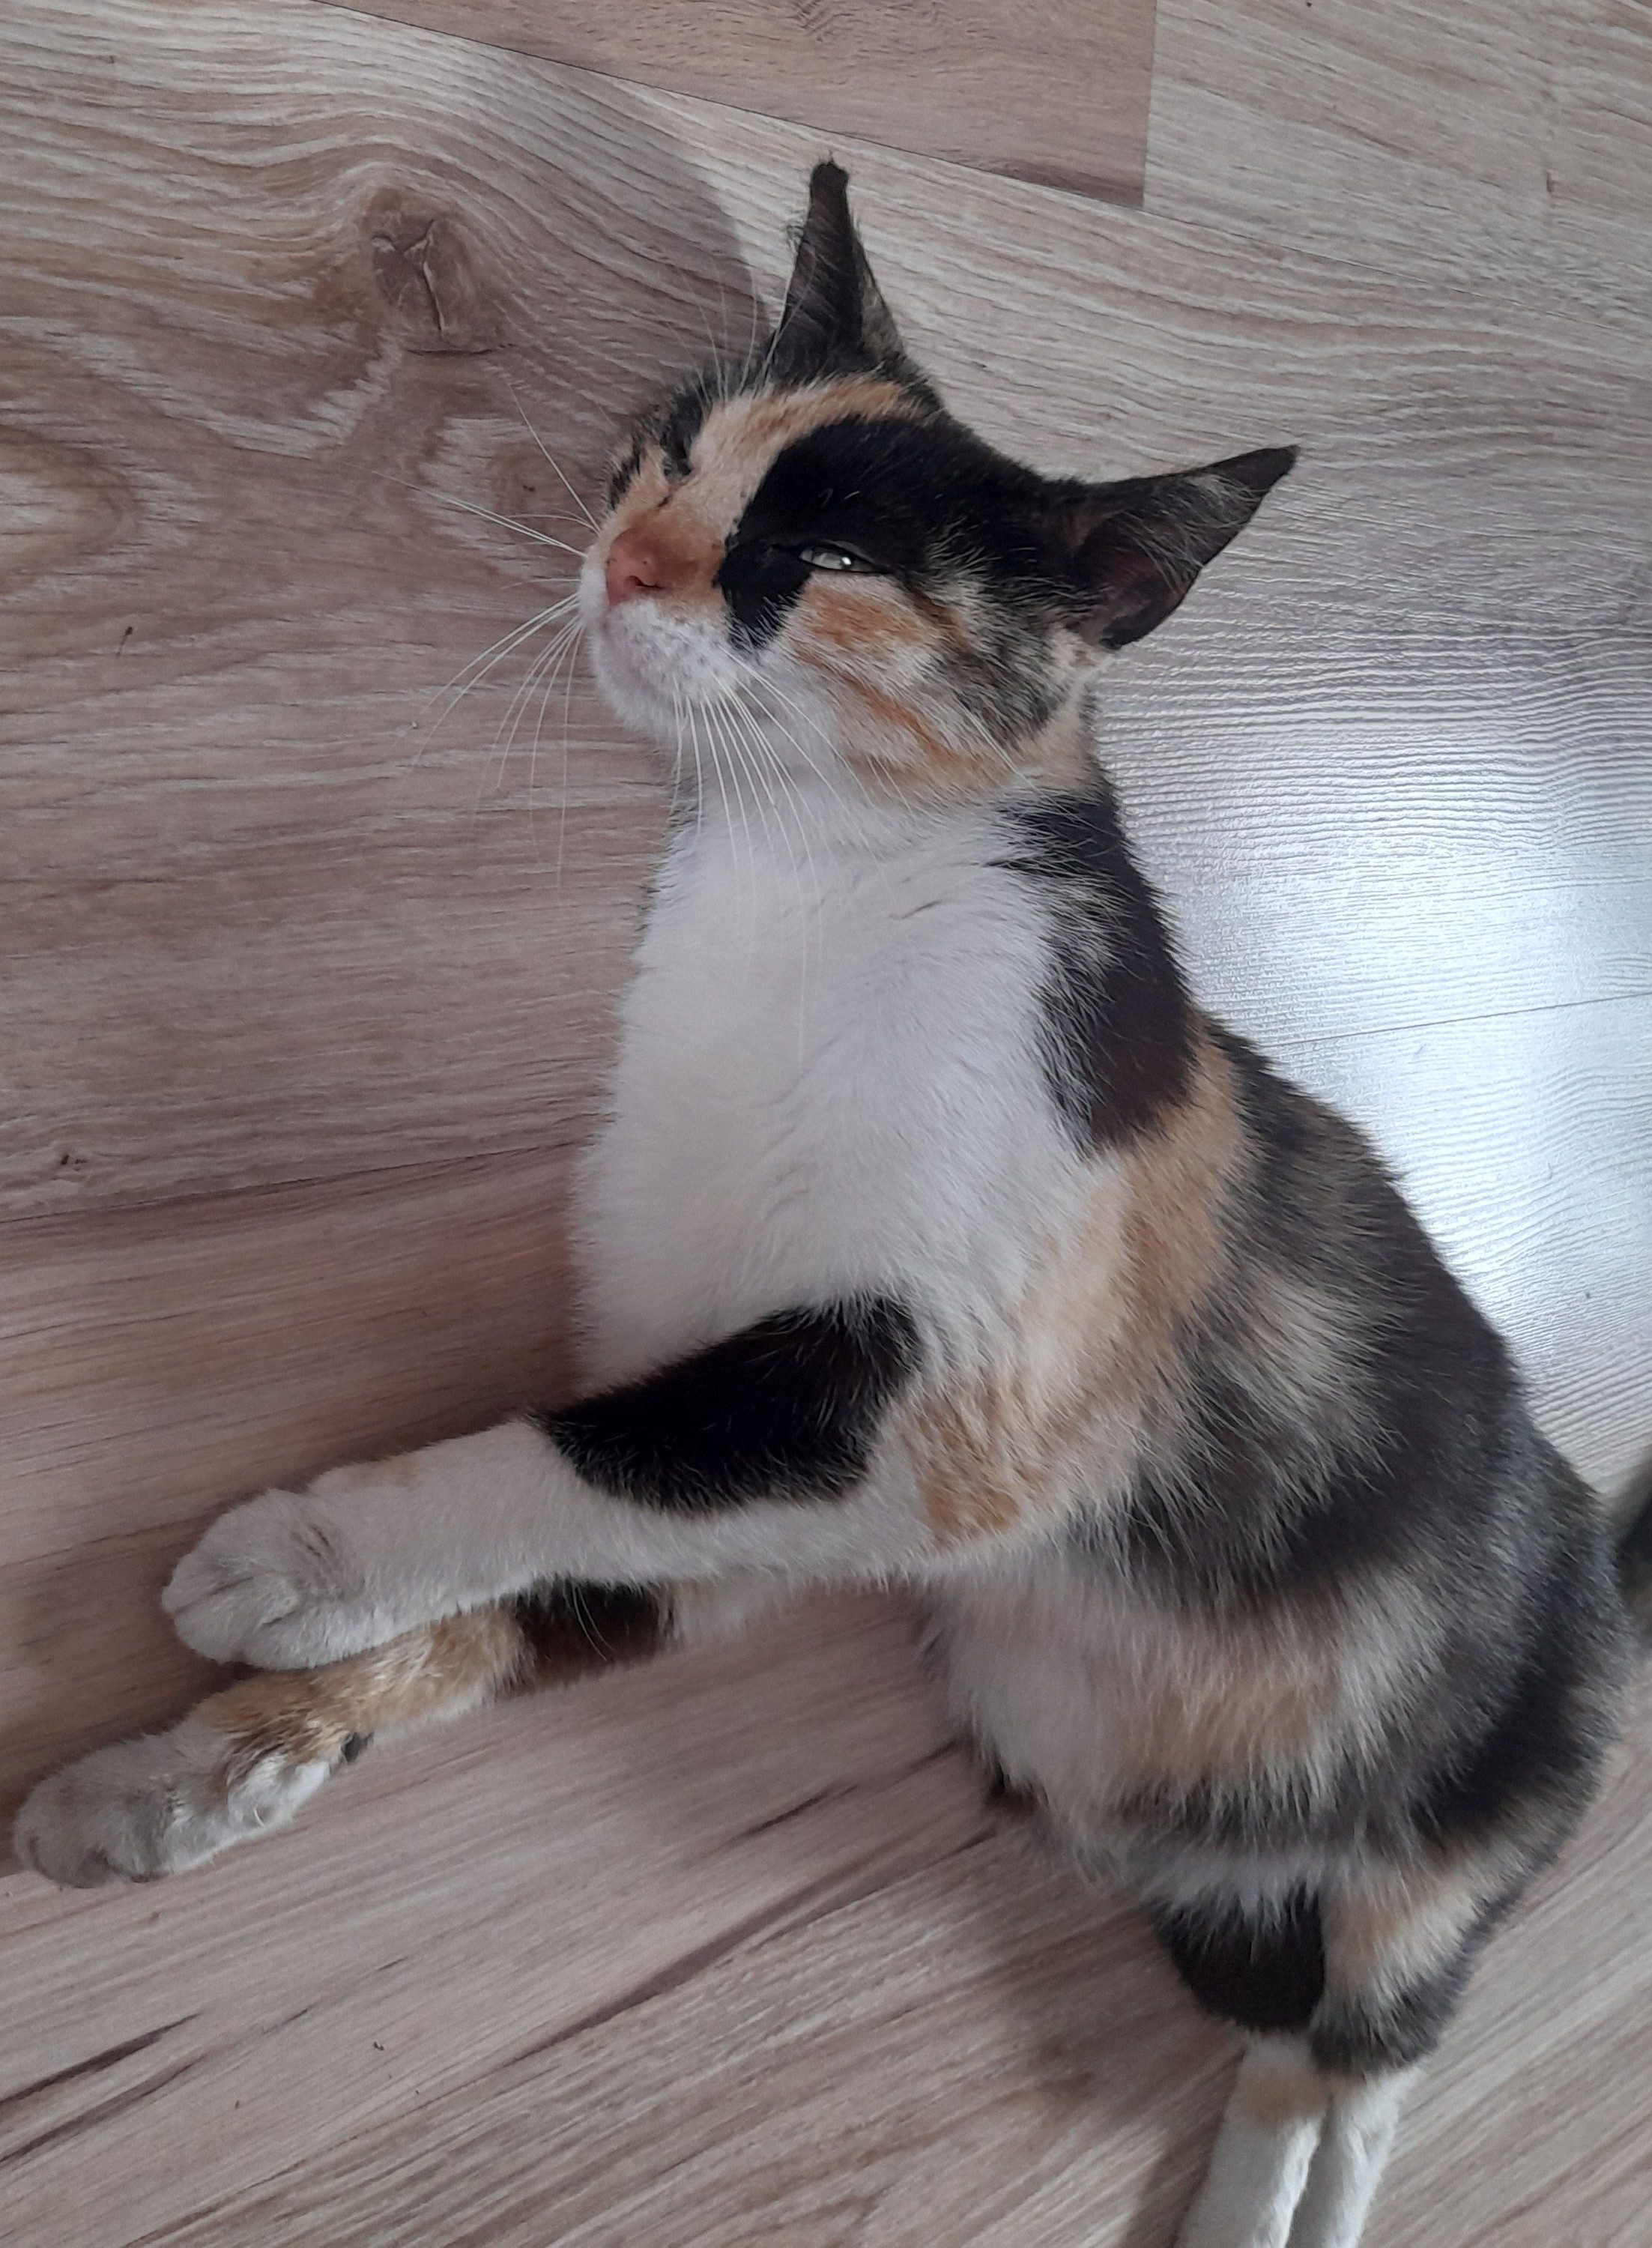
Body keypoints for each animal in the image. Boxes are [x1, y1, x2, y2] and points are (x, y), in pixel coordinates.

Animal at [17, 162, 1647, 2248]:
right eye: (669, 453)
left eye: (831, 556)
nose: (625, 561)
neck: (815, 877)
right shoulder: (766, 1504)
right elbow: (572, 1531)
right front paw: (184, 1776)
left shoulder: (946, 1412)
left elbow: (553, 1454)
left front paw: (297, 1555)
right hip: (1176, 1854)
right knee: (1288, 2018)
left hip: (1455, 1831)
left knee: (1378, 2044)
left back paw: (1272, 2199)